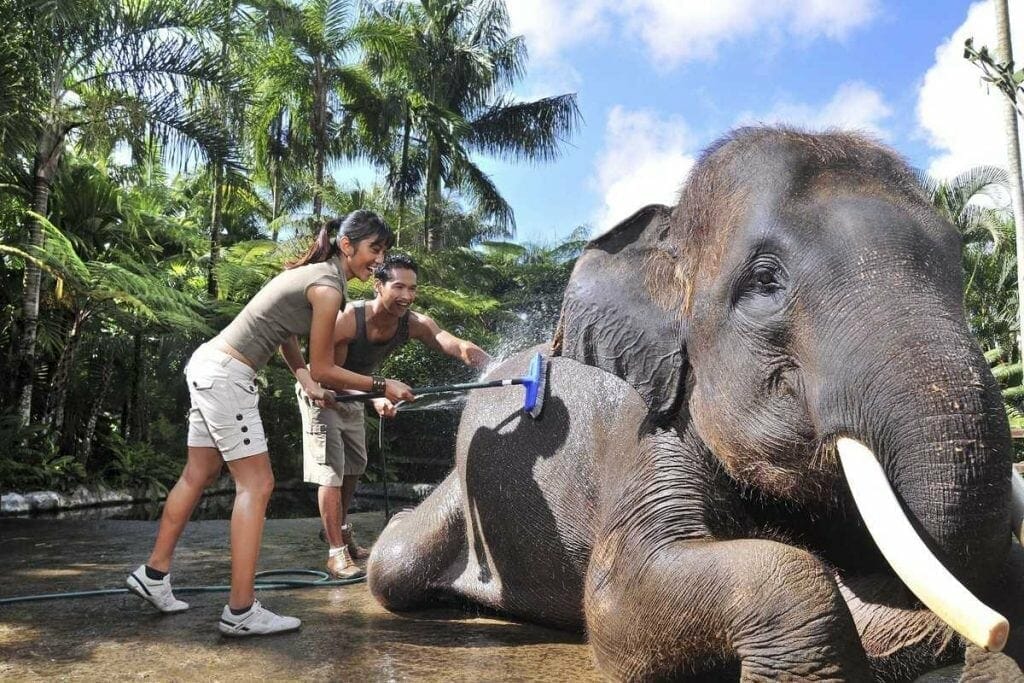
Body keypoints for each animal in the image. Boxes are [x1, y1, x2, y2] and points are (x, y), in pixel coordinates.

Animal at [367, 127, 1024, 681]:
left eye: (958, 263)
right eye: (765, 282)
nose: (993, 635)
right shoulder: (646, 428)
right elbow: (615, 599)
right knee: (394, 565)